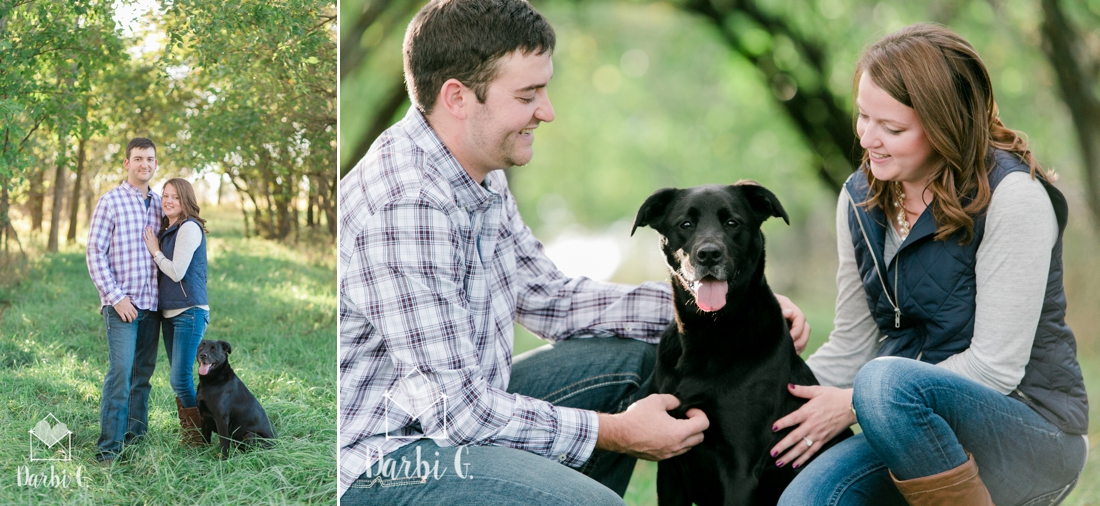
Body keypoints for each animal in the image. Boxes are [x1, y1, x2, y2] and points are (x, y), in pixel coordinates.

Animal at [629, 182, 849, 506]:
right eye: (685, 224)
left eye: (733, 223)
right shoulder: (669, 462)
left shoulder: (740, 467)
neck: (708, 334)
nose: (709, 254)